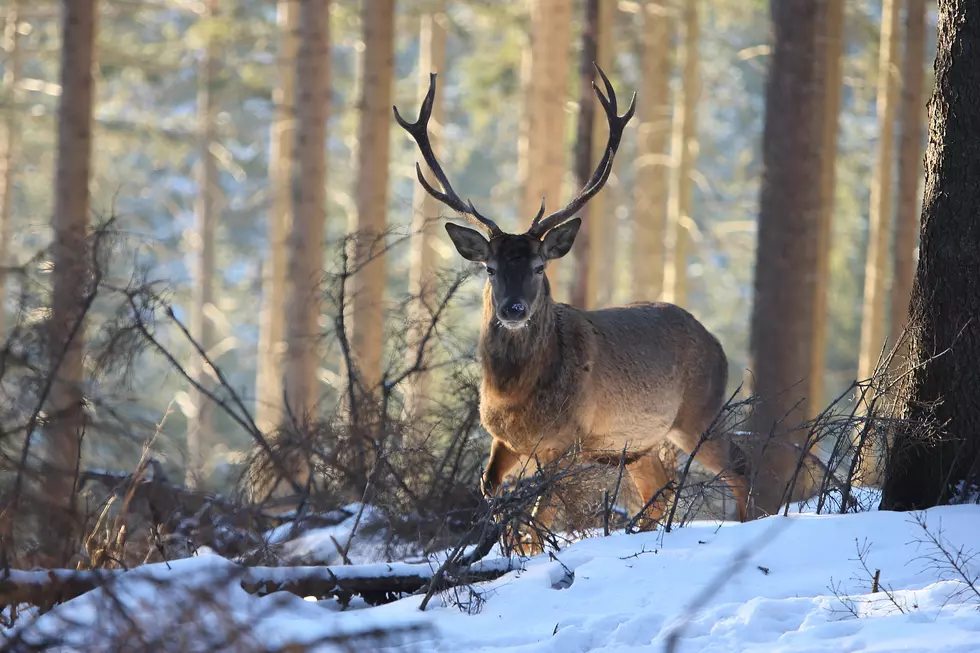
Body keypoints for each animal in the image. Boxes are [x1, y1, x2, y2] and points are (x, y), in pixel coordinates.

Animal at [394, 65, 748, 552]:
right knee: (660, 491)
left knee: (740, 467)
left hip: (700, 412)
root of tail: (716, 343)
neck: (514, 399)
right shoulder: (503, 441)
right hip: (637, 444)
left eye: (539, 266)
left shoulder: (567, 440)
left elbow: (542, 513)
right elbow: (491, 493)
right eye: (489, 268)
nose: (514, 308)